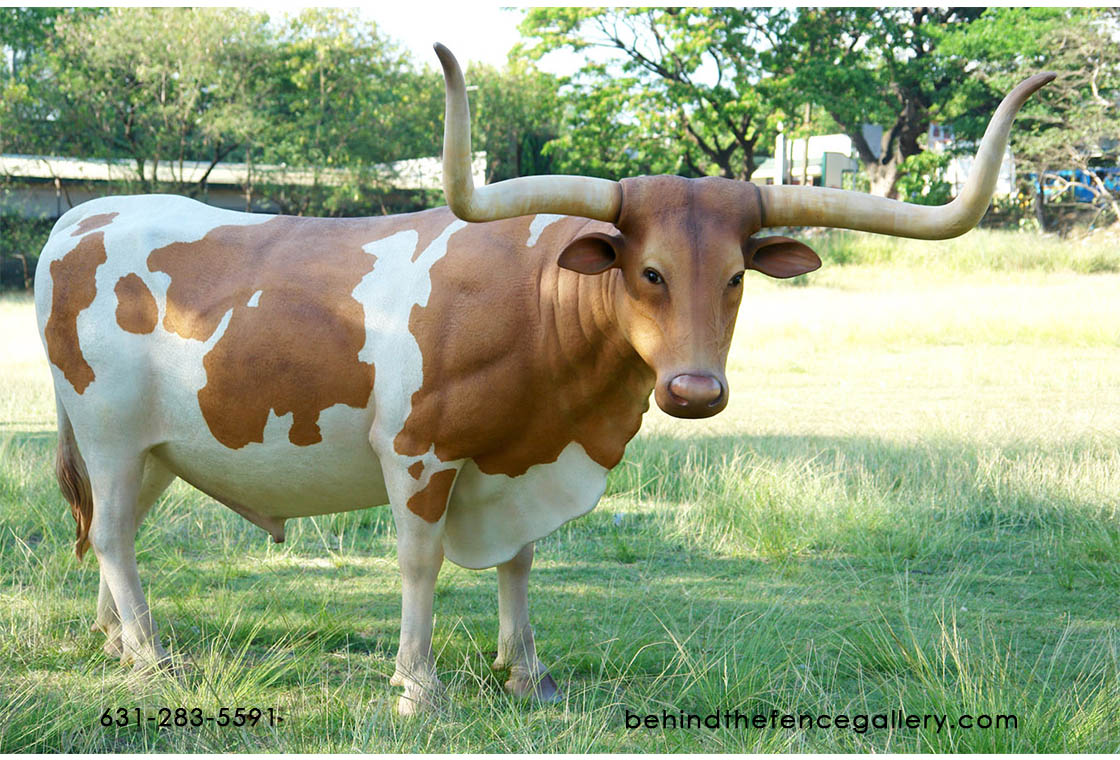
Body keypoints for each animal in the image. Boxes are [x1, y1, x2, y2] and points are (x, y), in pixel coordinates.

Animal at [32, 46, 1048, 711]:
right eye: (648, 272)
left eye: (735, 277)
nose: (695, 392)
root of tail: (82, 215)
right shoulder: (418, 453)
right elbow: (420, 561)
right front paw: (418, 685)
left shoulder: (520, 460)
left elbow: (520, 560)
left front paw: (526, 672)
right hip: (112, 433)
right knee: (113, 536)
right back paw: (153, 658)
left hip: (158, 450)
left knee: (117, 536)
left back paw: (115, 642)